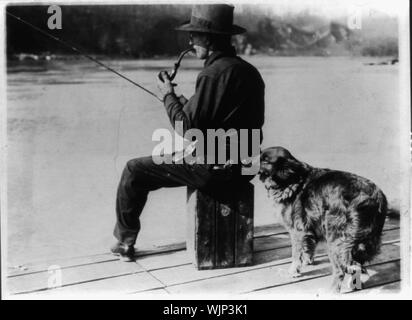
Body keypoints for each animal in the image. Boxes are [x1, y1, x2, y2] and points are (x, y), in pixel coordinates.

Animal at [260, 148, 388, 292]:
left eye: (265, 161)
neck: (293, 178)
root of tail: (375, 199)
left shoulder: (297, 232)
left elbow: (296, 255)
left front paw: (292, 272)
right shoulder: (309, 228)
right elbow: (308, 248)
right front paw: (307, 261)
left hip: (335, 241)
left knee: (341, 270)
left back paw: (331, 291)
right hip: (363, 243)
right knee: (355, 266)